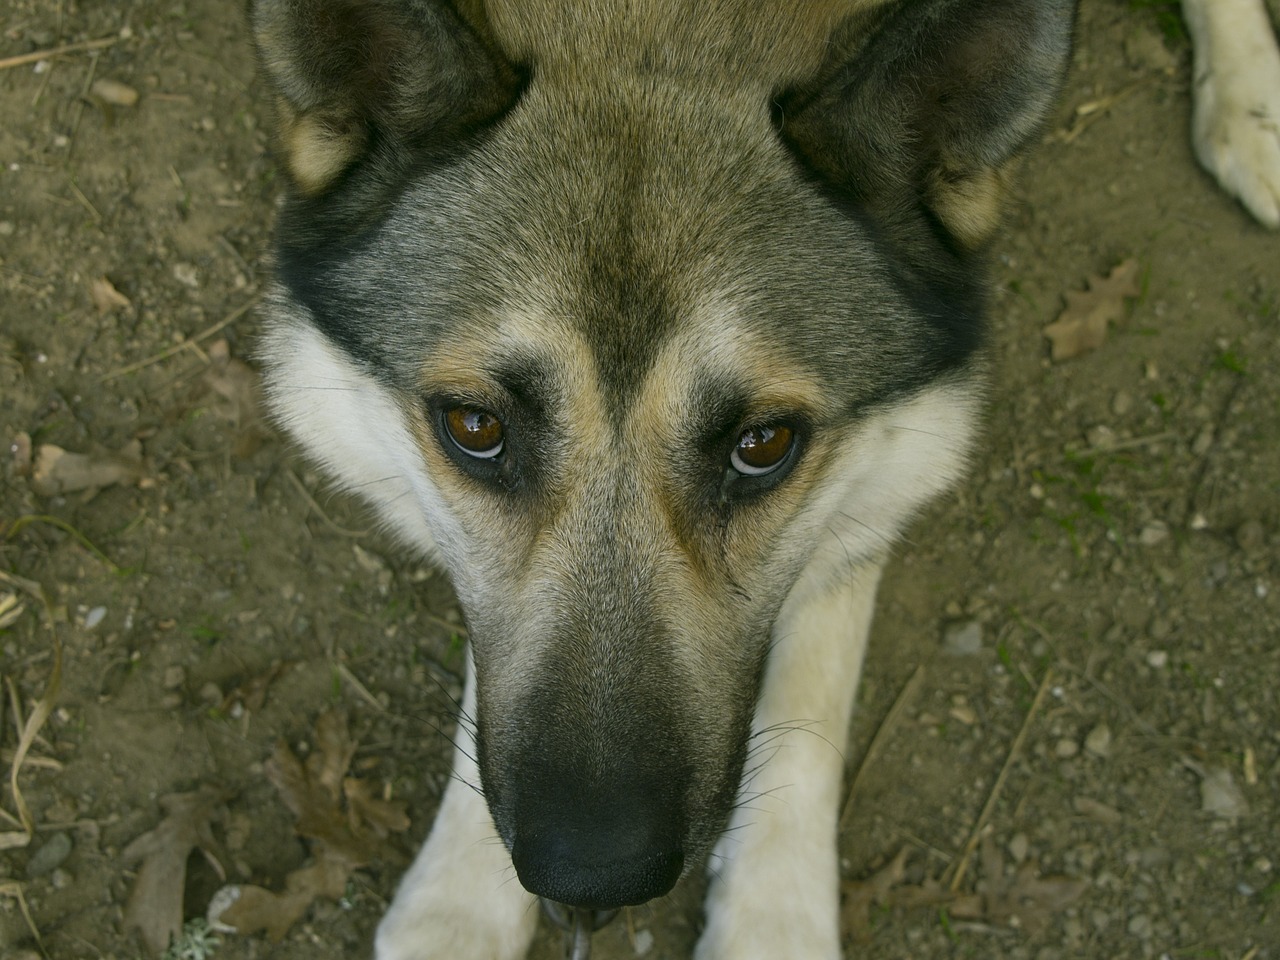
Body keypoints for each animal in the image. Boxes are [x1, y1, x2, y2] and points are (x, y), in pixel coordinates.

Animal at [249, 3, 1080, 957]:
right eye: (475, 428)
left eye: (763, 442)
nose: (592, 878)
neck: (657, 27)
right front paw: (461, 902)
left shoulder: (880, 483)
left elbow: (814, 688)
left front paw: (774, 916)